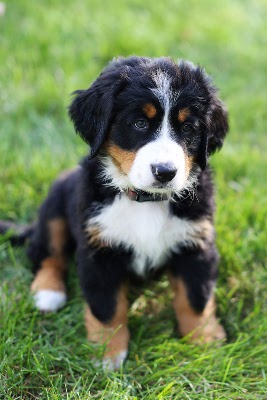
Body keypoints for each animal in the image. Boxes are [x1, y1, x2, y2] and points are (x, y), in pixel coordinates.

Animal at [1, 55, 229, 368]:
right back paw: (48, 293)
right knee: (48, 254)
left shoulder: (196, 243)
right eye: (139, 123)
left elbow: (196, 298)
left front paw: (204, 344)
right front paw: (107, 355)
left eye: (187, 128)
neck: (146, 200)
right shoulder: (99, 250)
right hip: (56, 203)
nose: (165, 172)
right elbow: (107, 307)